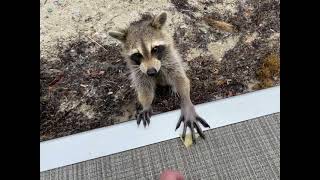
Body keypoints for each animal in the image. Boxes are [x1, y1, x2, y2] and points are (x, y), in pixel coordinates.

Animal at [109, 11, 211, 143]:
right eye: (137, 54)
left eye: (155, 49)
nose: (151, 72)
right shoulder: (138, 70)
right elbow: (144, 87)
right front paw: (146, 104)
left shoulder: (170, 58)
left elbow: (180, 79)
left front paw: (186, 101)